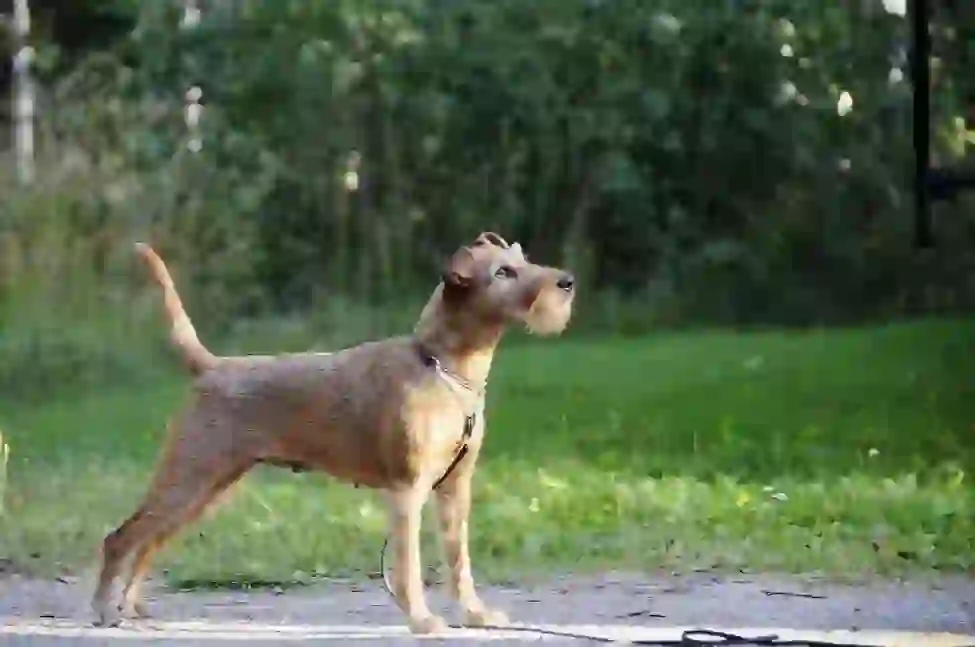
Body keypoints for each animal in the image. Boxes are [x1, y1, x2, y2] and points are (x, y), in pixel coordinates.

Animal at [90, 233, 576, 632]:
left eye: (523, 259)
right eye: (503, 272)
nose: (567, 281)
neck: (441, 366)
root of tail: (211, 367)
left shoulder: (455, 489)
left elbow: (460, 563)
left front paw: (476, 615)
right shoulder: (408, 491)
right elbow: (409, 567)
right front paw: (422, 621)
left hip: (206, 489)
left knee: (148, 542)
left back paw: (131, 607)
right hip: (188, 476)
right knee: (121, 538)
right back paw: (104, 610)